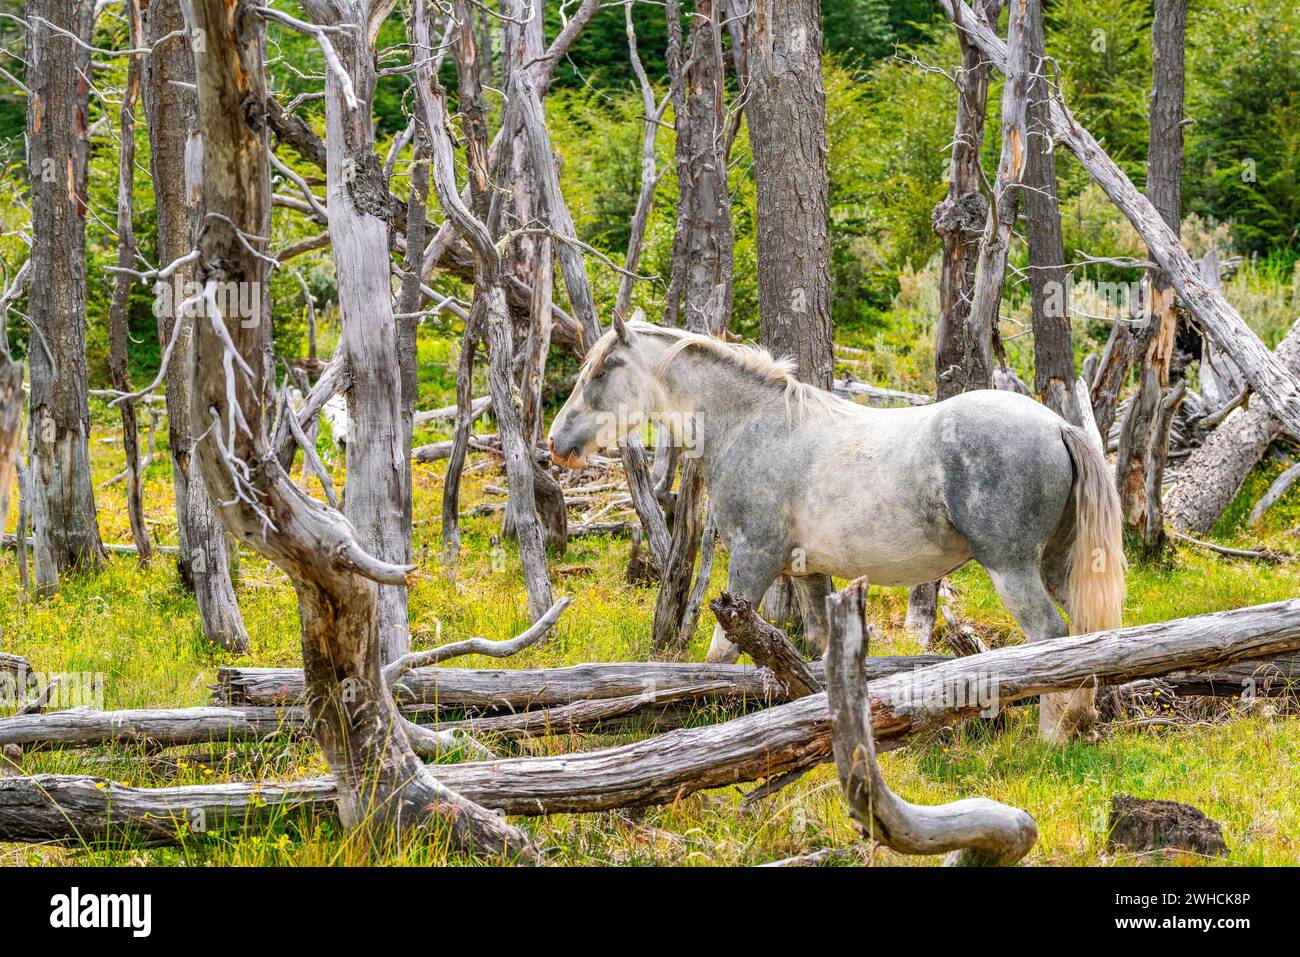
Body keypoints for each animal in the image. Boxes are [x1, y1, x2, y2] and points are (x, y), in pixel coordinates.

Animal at [548, 317, 1128, 743]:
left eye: (602, 370)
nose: (556, 443)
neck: (752, 426)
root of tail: (1058, 424)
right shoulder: (807, 573)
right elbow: (819, 653)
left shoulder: (753, 560)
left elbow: (720, 656)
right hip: (1056, 565)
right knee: (1084, 634)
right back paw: (1080, 721)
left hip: (1012, 569)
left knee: (1049, 637)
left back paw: (1052, 735)